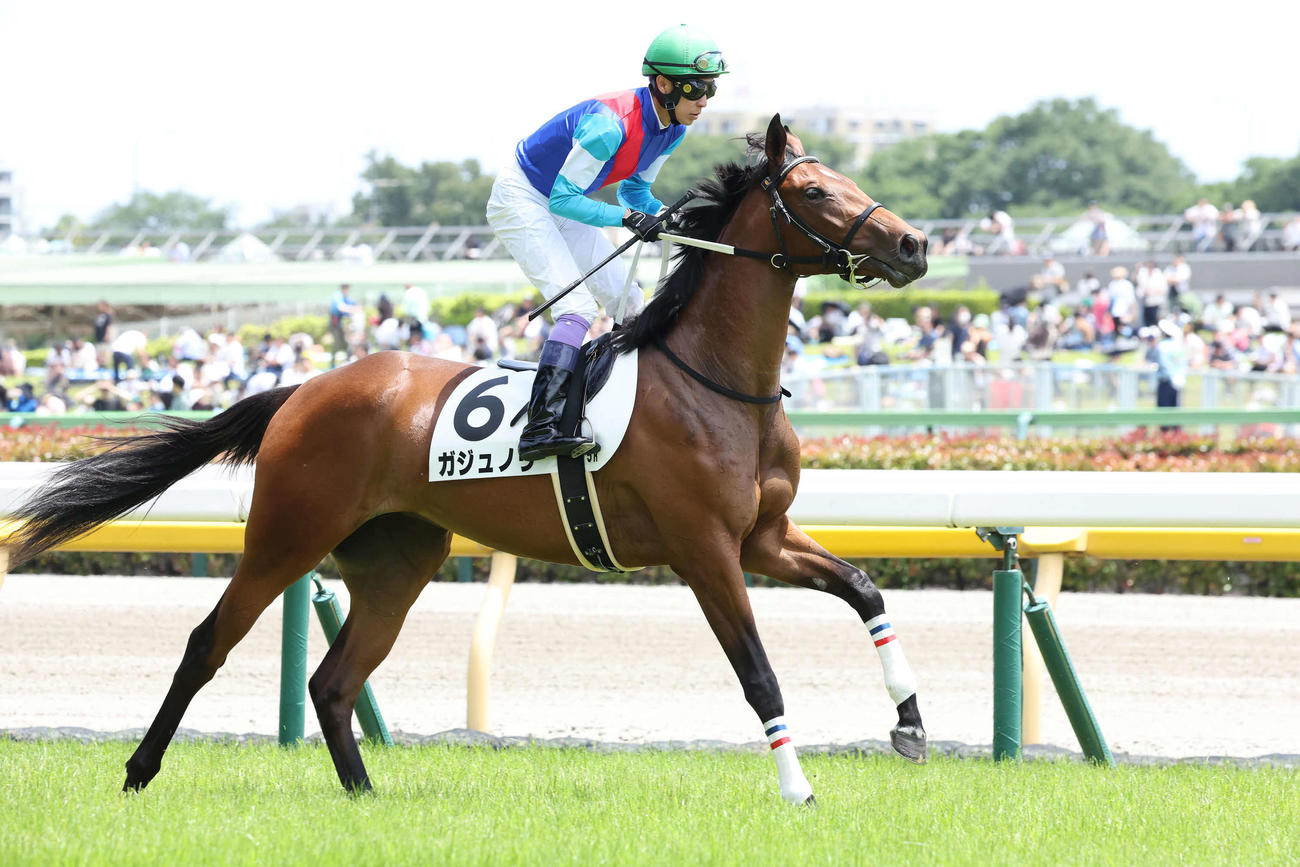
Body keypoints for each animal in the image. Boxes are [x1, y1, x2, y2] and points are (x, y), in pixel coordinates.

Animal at [3, 115, 929, 805]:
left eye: (847, 178)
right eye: (814, 191)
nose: (915, 244)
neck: (717, 380)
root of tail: (305, 386)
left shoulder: (762, 536)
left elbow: (865, 590)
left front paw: (911, 725)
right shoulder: (704, 549)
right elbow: (760, 674)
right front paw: (799, 789)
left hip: (399, 555)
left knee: (334, 681)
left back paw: (365, 796)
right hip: (287, 536)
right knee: (209, 641)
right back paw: (138, 770)